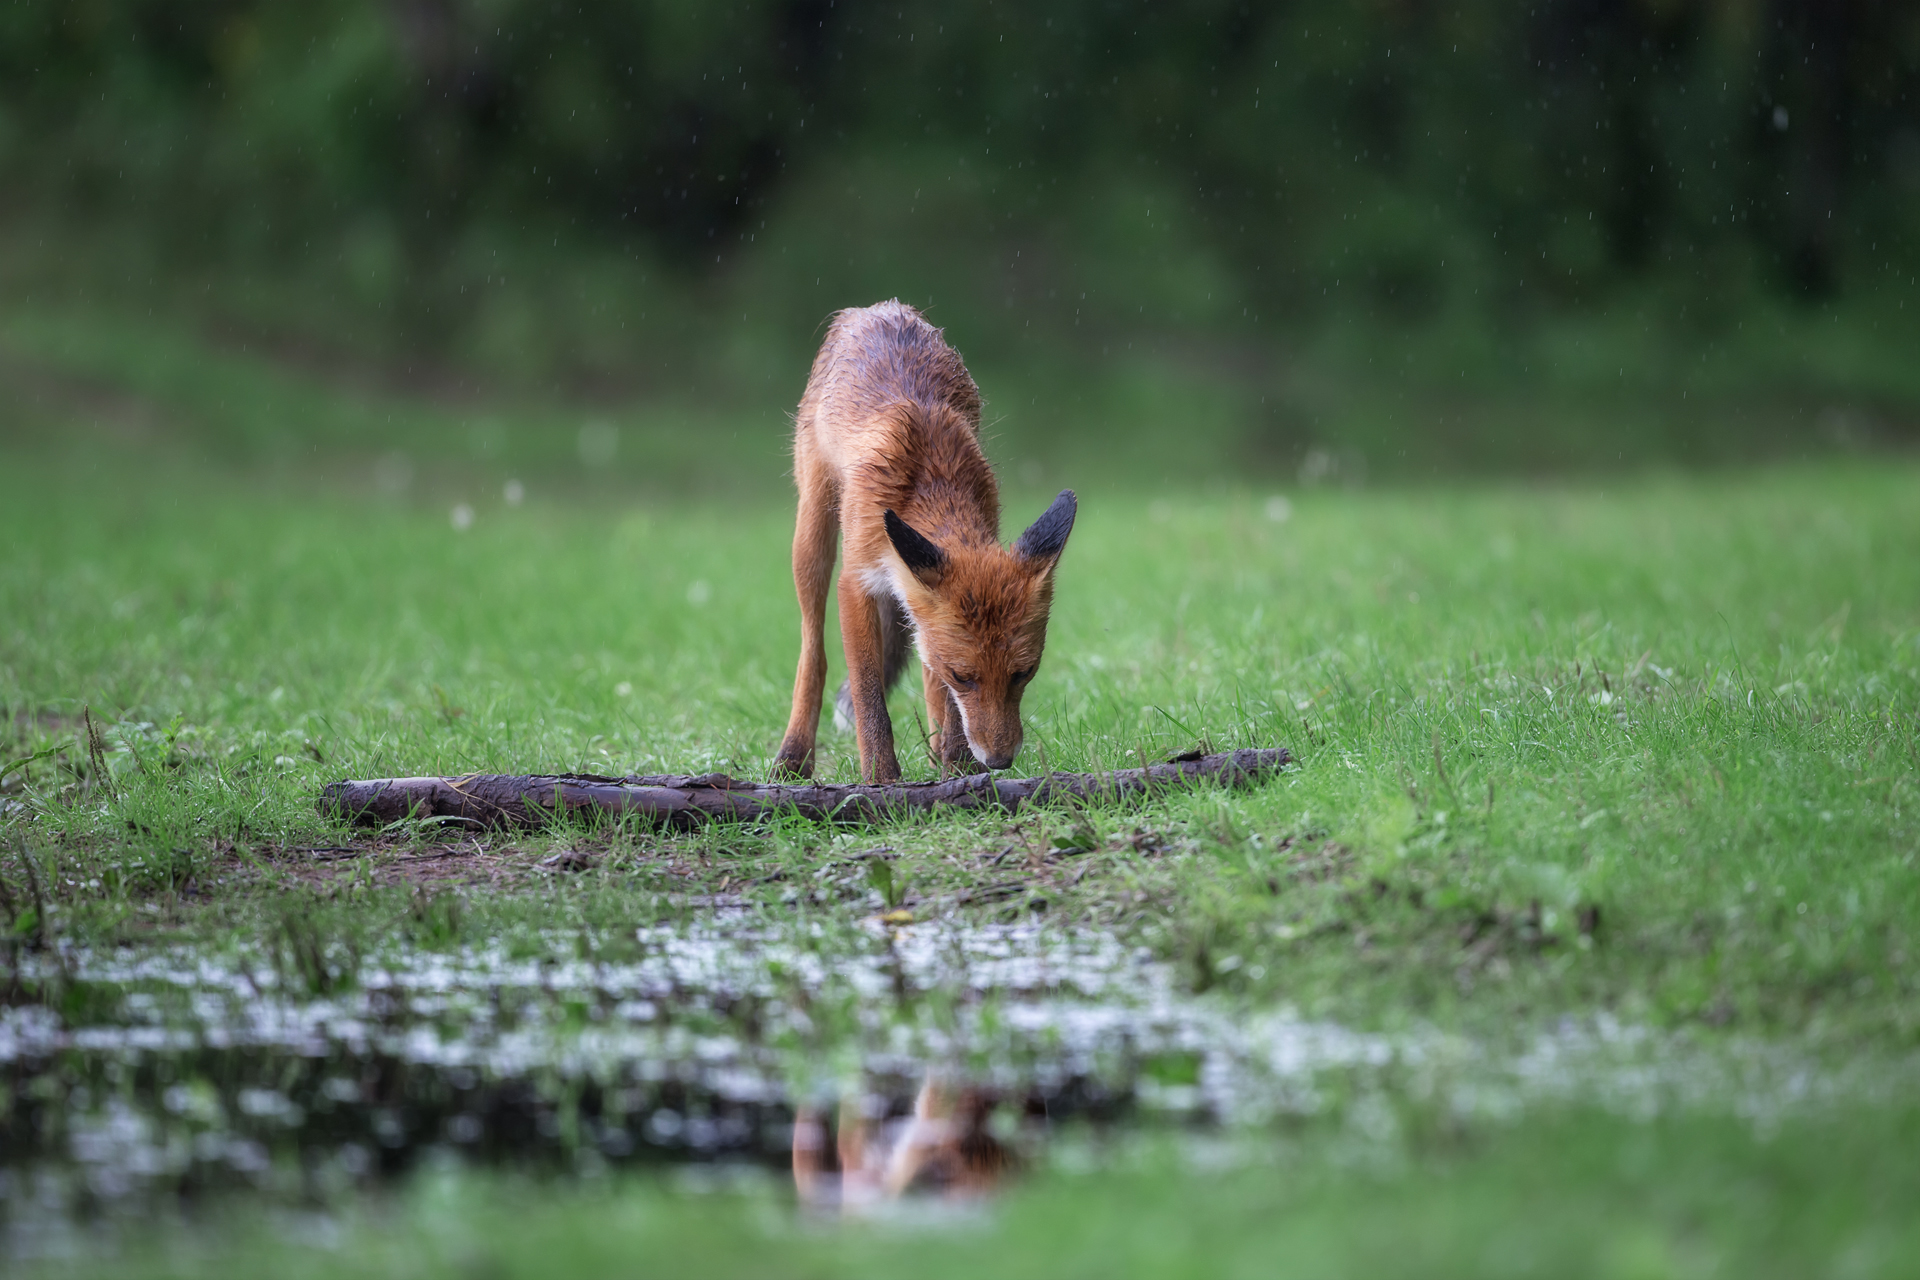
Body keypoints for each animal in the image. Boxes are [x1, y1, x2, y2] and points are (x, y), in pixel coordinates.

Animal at [775, 303, 1082, 782]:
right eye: (963, 676)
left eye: (1024, 673)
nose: (999, 761)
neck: (930, 477)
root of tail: (874, 308)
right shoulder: (857, 581)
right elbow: (869, 695)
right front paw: (881, 778)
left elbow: (938, 692)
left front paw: (957, 766)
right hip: (812, 535)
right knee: (814, 653)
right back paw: (793, 754)